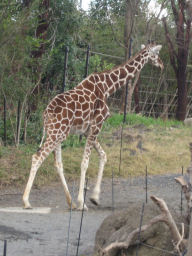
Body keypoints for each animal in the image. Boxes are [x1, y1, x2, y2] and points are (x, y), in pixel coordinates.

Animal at [22, 43, 164, 210]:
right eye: (156, 53)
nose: (161, 64)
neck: (108, 87)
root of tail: (46, 114)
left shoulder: (88, 130)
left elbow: (103, 155)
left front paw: (94, 198)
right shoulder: (97, 124)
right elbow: (85, 163)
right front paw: (82, 202)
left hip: (59, 134)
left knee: (58, 164)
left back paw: (70, 201)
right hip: (56, 133)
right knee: (37, 157)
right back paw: (27, 201)